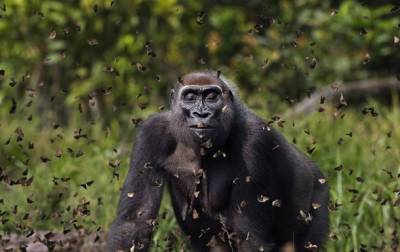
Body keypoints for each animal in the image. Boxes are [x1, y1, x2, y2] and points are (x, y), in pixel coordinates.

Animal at [106, 71, 328, 252]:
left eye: (211, 97)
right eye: (190, 97)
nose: (201, 113)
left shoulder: (254, 138)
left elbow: (250, 237)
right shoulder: (151, 132)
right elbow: (134, 223)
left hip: (318, 195)